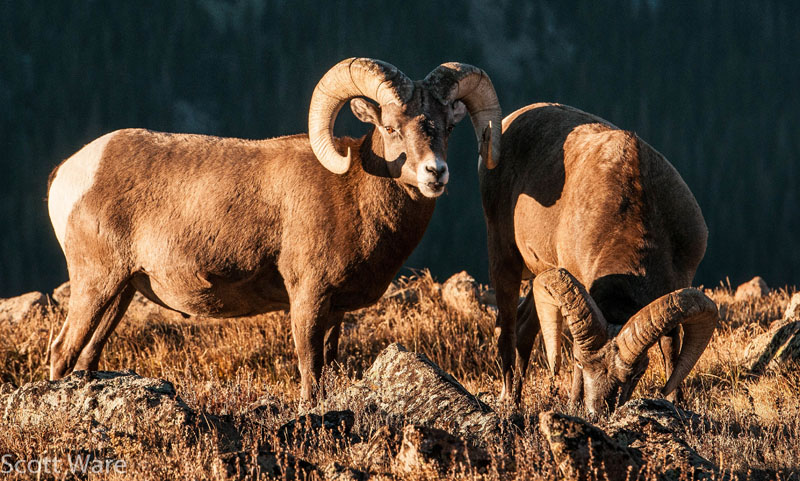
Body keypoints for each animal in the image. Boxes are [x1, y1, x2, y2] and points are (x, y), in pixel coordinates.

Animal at [47, 57, 502, 402]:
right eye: (390, 127)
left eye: (447, 127)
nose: (435, 173)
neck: (354, 194)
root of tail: (69, 171)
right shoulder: (307, 298)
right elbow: (310, 370)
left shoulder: (335, 312)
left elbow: (327, 364)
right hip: (95, 282)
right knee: (62, 350)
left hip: (121, 292)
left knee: (87, 356)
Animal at [480, 102, 718, 413]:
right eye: (580, 363)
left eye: (637, 372)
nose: (598, 410)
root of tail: (510, 120)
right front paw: (573, 404)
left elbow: (670, 346)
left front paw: (675, 401)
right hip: (503, 256)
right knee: (507, 330)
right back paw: (509, 401)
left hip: (538, 274)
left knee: (523, 329)